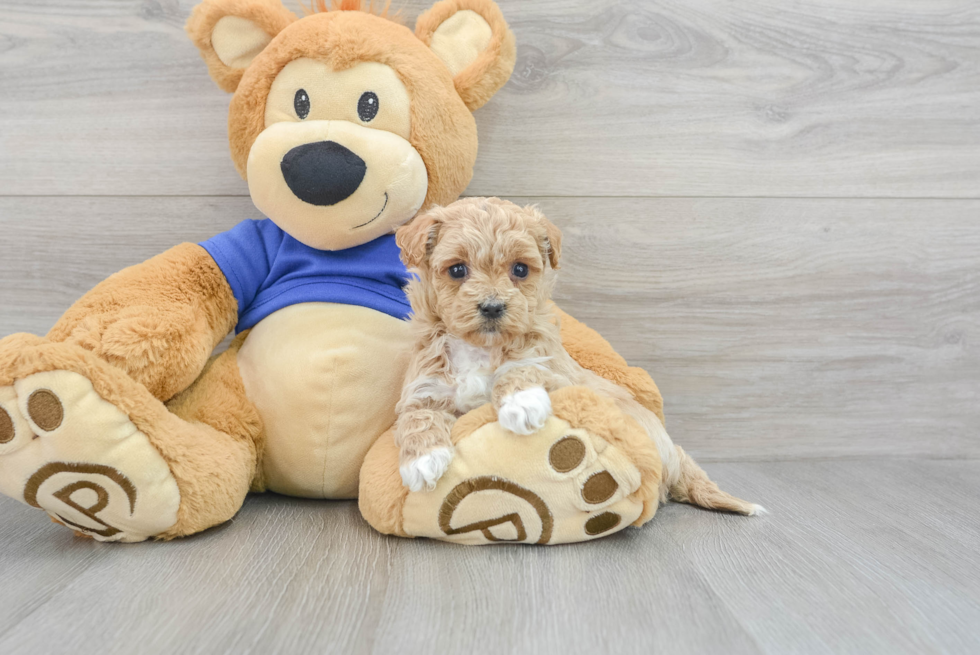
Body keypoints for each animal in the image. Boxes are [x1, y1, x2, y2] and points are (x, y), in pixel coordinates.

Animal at [394, 200, 760, 516]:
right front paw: (422, 460)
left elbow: (524, 367)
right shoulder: (425, 386)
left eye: (520, 269)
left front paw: (521, 403)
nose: (493, 307)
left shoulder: (556, 370)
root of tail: (674, 456)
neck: (481, 347)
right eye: (457, 270)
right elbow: (417, 416)